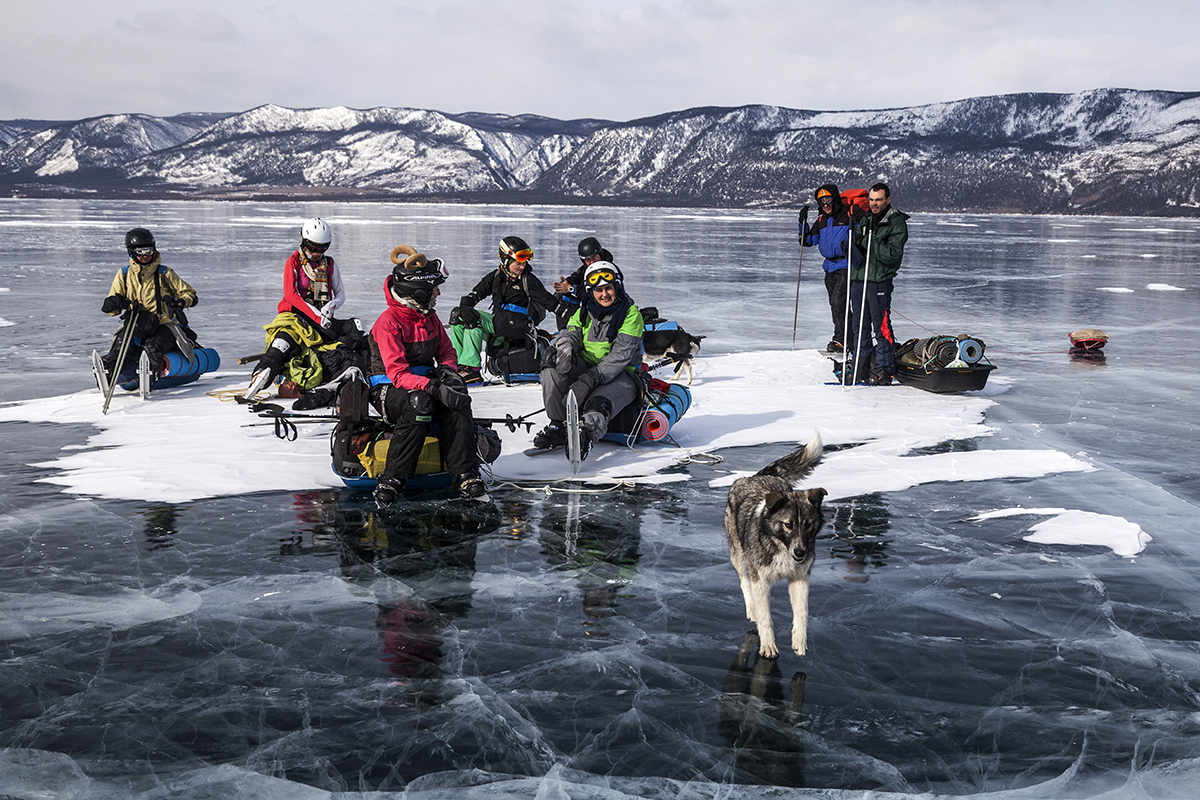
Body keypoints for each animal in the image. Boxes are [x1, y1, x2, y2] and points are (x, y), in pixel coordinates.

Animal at [720, 434, 825, 662]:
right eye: (788, 525)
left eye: (808, 524)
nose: (800, 552)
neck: (781, 547)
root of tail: (754, 477)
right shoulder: (760, 581)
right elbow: (765, 617)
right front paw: (768, 646)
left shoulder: (800, 579)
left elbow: (802, 613)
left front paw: (799, 641)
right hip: (739, 557)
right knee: (744, 582)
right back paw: (751, 611)